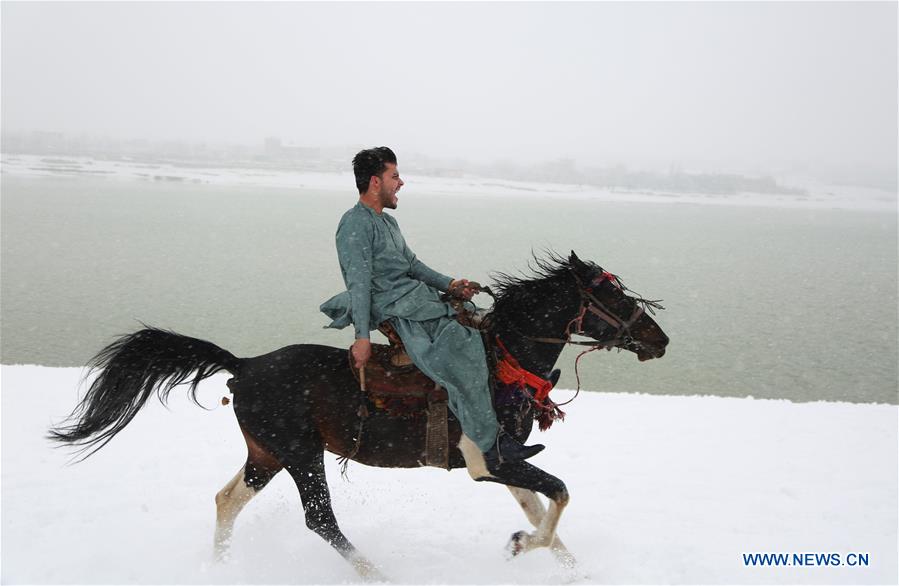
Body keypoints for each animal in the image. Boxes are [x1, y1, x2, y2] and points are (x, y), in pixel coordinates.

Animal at [51, 251, 668, 580]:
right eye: (615, 297)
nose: (659, 339)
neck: (504, 363)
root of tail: (243, 365)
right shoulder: (489, 461)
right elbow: (557, 495)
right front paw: (520, 546)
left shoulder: (503, 461)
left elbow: (542, 509)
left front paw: (566, 565)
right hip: (301, 454)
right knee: (319, 519)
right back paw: (379, 574)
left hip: (267, 453)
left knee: (226, 501)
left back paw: (221, 568)